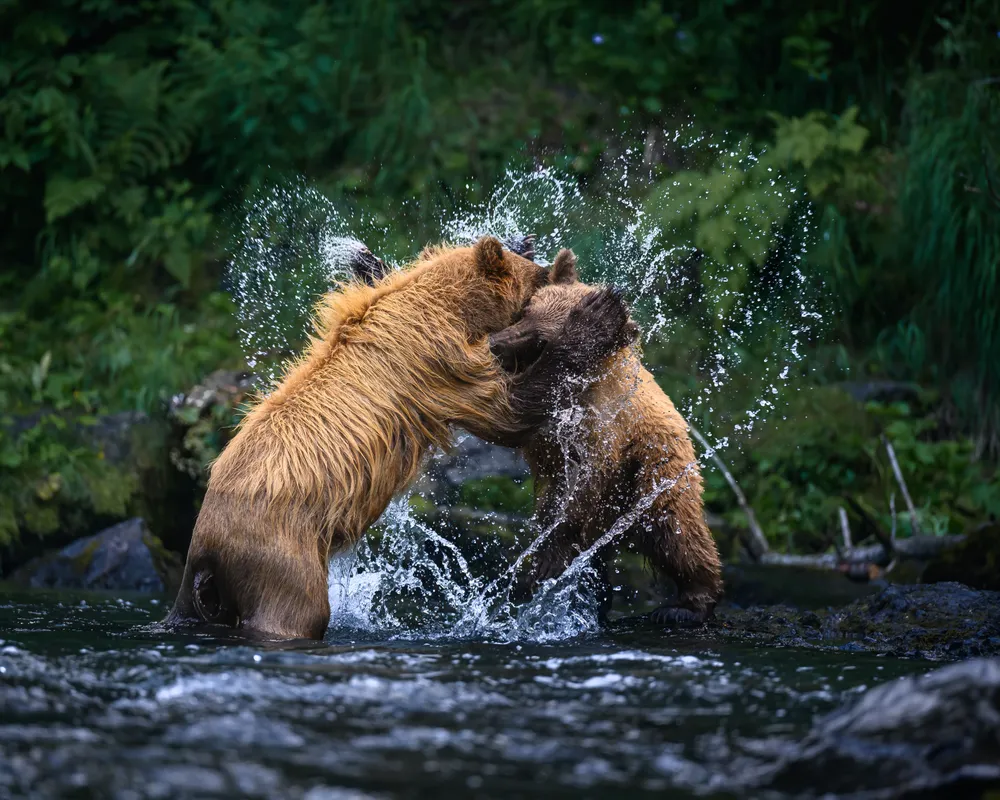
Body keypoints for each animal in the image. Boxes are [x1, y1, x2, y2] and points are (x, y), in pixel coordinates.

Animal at [164, 236, 632, 636]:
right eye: (539, 285)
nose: (541, 258)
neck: (449, 308)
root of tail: (204, 548)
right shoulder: (440, 367)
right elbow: (508, 409)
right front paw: (599, 315)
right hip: (280, 552)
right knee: (297, 610)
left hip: (214, 583)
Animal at [488, 248, 724, 624]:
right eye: (526, 312)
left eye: (542, 340)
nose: (496, 345)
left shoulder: (605, 434)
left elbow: (581, 490)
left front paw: (548, 561)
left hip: (658, 473)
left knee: (676, 533)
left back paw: (686, 604)